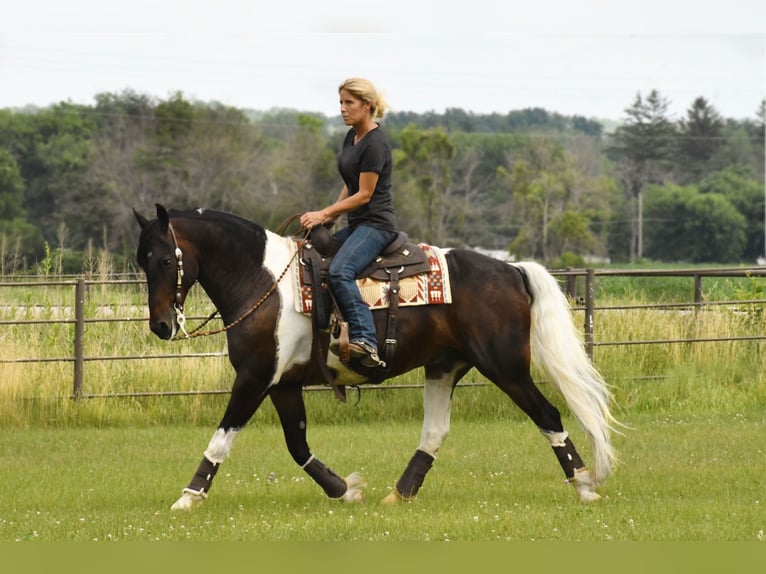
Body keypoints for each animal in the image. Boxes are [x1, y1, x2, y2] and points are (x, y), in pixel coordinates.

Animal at [135, 205, 620, 510]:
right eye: (141, 261)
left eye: (165, 260)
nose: (160, 325)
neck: (263, 280)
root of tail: (512, 269)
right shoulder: (283, 383)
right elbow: (297, 445)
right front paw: (344, 490)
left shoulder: (254, 378)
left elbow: (222, 438)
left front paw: (188, 496)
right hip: (444, 367)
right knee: (435, 432)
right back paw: (399, 494)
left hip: (506, 368)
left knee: (548, 415)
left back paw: (584, 486)